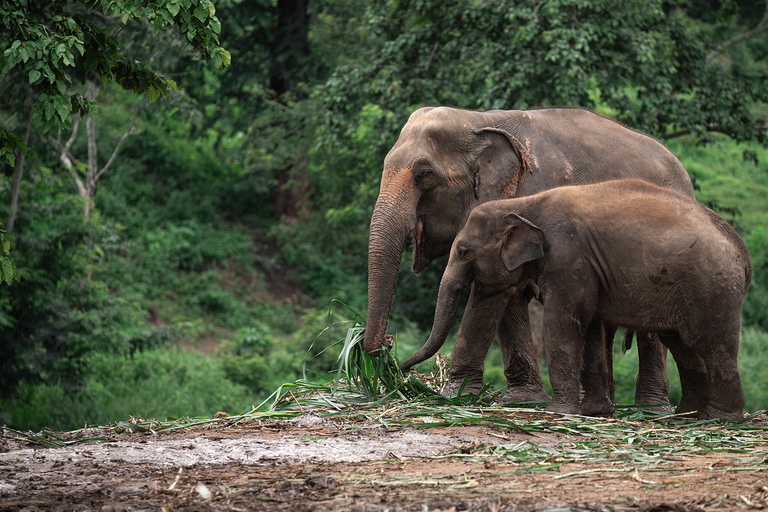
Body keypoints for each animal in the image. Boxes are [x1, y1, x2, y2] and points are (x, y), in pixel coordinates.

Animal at [366, 106, 696, 406]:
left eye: (425, 175)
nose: (390, 350)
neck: (479, 119)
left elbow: (501, 290)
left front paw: (453, 397)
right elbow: (501, 290)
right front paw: (519, 400)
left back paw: (652, 410)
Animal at [402, 177, 752, 420]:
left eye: (463, 251)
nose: (401, 368)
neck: (524, 204)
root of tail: (742, 250)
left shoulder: (568, 256)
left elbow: (562, 322)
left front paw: (557, 413)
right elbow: (592, 328)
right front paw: (595, 412)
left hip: (712, 288)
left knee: (714, 346)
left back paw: (719, 419)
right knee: (683, 345)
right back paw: (687, 416)